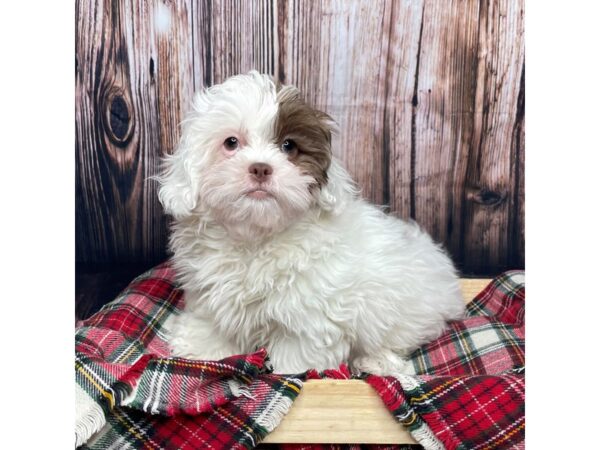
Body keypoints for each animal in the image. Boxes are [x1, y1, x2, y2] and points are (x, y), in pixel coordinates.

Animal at [158, 70, 464, 374]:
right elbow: (214, 322)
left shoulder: (309, 319)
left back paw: (376, 360)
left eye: (288, 146)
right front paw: (202, 346)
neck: (256, 237)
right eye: (231, 142)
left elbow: (294, 358)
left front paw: (287, 374)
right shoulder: (210, 293)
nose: (260, 168)